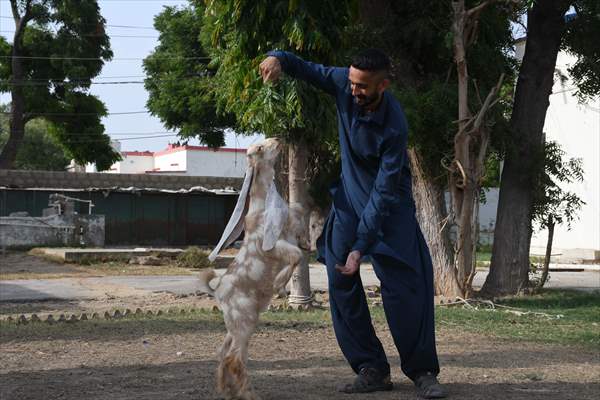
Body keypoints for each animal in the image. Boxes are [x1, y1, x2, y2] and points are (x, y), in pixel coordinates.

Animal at [199, 138, 310, 400]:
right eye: (259, 148)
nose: (279, 139)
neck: (263, 207)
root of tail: (218, 291)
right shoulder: (273, 245)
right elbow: (296, 255)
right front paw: (280, 285)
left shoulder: (290, 229)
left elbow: (299, 217)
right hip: (244, 322)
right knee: (234, 359)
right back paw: (246, 394)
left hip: (235, 326)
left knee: (223, 353)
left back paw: (227, 390)